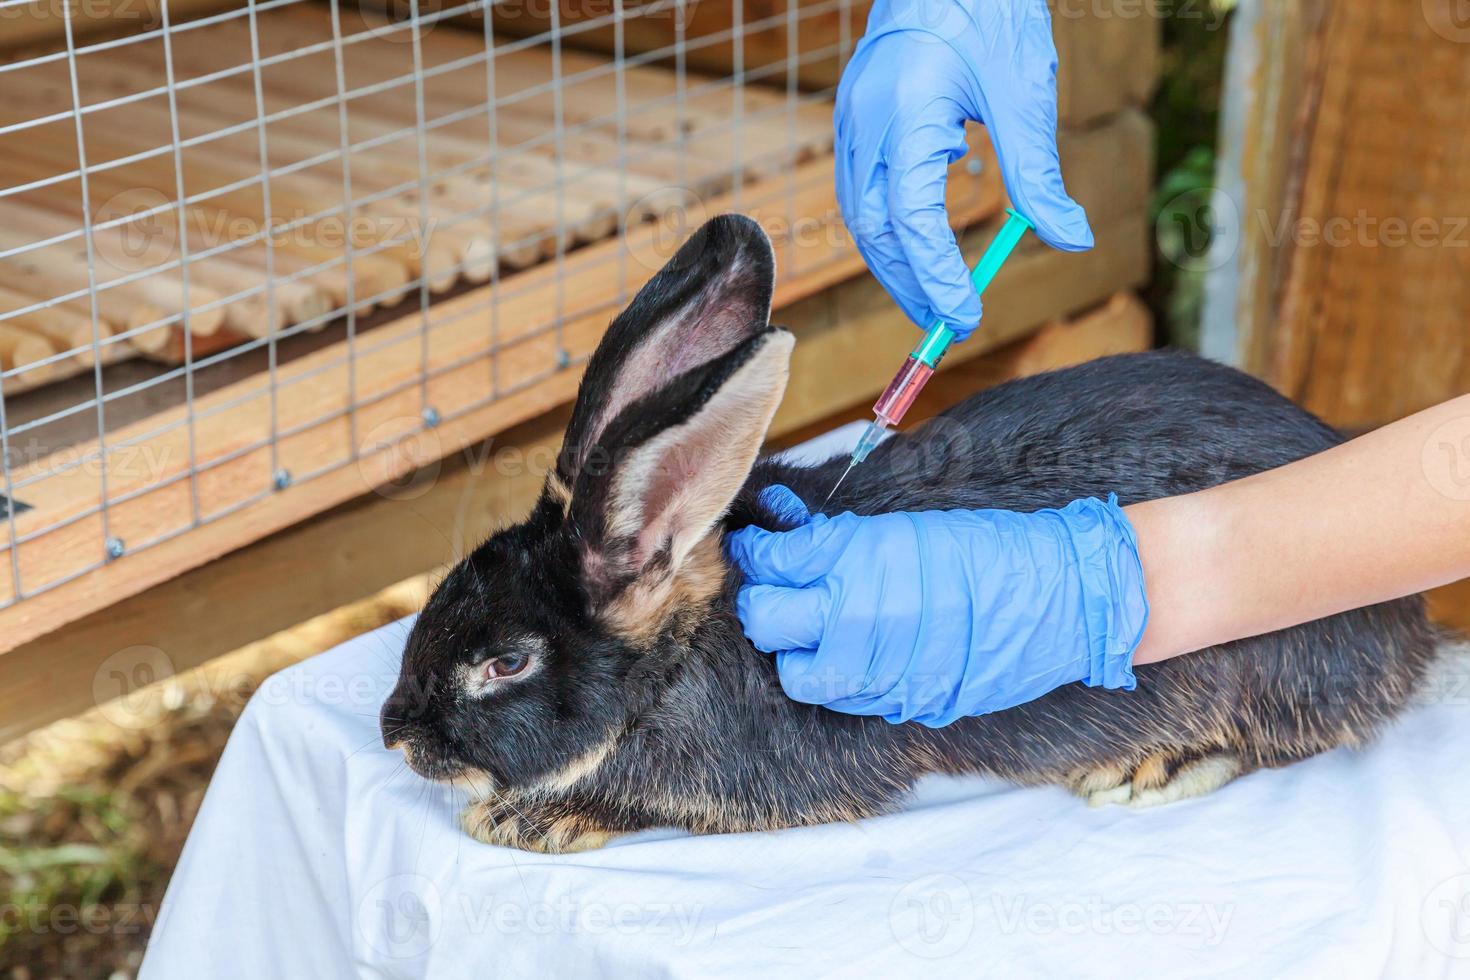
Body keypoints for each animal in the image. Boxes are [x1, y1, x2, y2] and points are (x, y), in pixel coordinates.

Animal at [385, 214, 1440, 852]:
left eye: (507, 664)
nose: (395, 736)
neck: (683, 648)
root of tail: (1414, 630)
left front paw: (526, 819)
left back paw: (1149, 769)